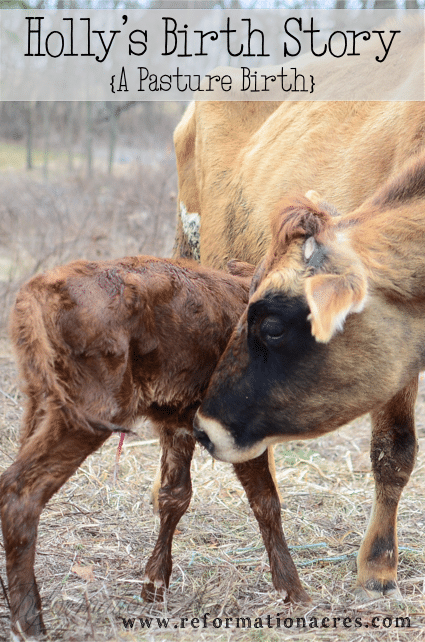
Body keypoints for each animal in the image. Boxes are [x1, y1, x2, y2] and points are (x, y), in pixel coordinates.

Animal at [0, 255, 304, 637]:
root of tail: (38, 290)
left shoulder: (178, 424)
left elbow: (174, 496)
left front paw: (154, 585)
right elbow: (266, 500)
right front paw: (293, 590)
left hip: (39, 405)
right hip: (86, 415)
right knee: (20, 492)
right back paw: (29, 622)